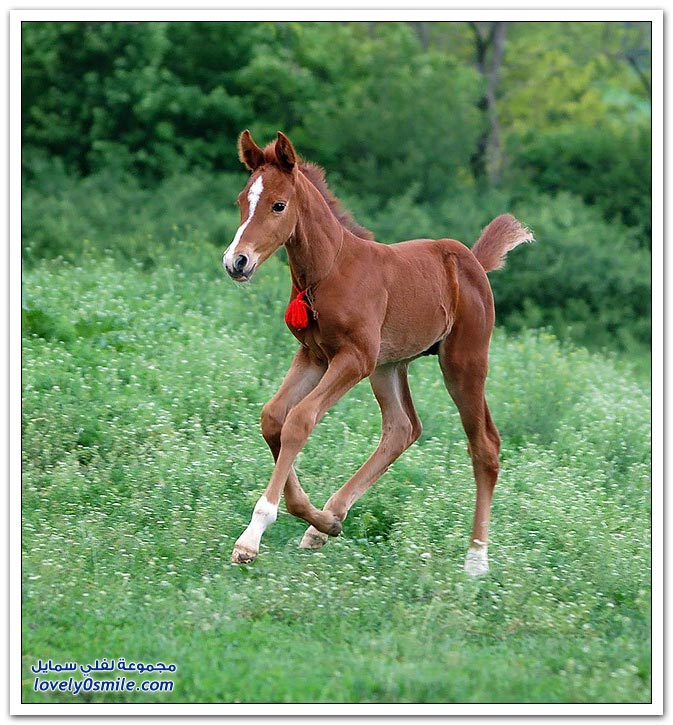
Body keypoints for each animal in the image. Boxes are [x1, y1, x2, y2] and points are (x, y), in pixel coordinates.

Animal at [223, 127, 532, 576]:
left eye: (279, 205)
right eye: (242, 201)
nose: (237, 262)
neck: (329, 271)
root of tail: (472, 261)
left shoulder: (354, 358)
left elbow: (299, 420)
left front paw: (252, 536)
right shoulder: (314, 355)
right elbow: (273, 418)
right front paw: (319, 519)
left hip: (462, 362)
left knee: (485, 445)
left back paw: (476, 560)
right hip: (390, 365)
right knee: (403, 428)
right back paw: (325, 523)